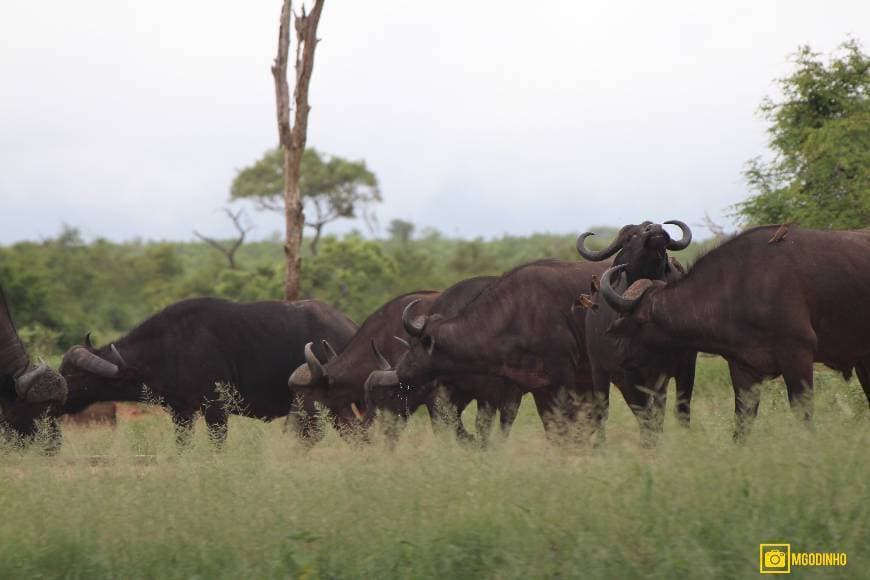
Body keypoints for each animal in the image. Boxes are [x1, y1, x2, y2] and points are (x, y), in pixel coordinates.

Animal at [5, 296, 354, 446]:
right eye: (63, 368)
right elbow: (182, 445)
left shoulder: (216, 409)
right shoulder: (181, 413)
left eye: (76, 375)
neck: (170, 348)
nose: (54, 393)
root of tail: (348, 326)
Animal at [372, 258, 608, 444]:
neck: (515, 314)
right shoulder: (520, 386)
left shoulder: (561, 372)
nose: (400, 371)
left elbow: (566, 418)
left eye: (416, 344)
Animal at [576, 221, 700, 444]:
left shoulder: (686, 365)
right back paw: (600, 444)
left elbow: (681, 409)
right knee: (603, 410)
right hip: (599, 371)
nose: (656, 229)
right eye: (630, 236)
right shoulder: (631, 372)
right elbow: (643, 414)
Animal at [604, 223, 870, 440]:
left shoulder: (798, 355)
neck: (739, 286)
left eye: (636, 321)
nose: (617, 356)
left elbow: (803, 414)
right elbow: (742, 423)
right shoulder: (743, 369)